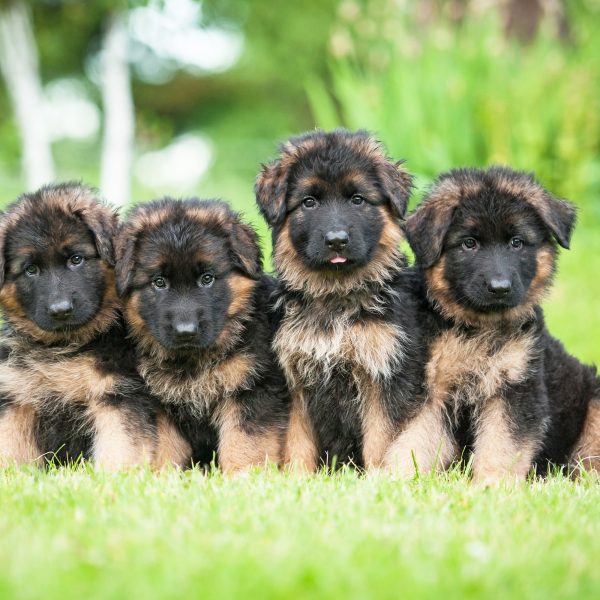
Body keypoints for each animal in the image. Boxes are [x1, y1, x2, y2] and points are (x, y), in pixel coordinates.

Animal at [0, 183, 159, 468]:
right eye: (31, 270)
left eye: (76, 259)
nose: (60, 310)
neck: (64, 346)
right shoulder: (15, 397)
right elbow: (8, 447)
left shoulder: (116, 395)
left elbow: (120, 447)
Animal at [115, 199, 290, 472]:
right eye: (159, 282)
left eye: (207, 278)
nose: (185, 332)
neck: (192, 361)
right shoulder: (159, 406)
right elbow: (165, 449)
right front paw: (161, 476)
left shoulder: (252, 389)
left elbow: (244, 443)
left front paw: (244, 475)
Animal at [255, 130, 428, 474]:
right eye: (309, 202)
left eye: (357, 200)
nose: (336, 240)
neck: (336, 297)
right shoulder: (295, 379)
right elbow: (297, 441)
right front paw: (296, 478)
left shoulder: (383, 376)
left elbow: (379, 440)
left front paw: (377, 478)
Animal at [398, 168, 600, 482]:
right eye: (469, 243)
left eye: (516, 242)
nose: (500, 288)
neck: (477, 327)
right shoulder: (430, 389)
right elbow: (414, 439)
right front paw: (392, 478)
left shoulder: (515, 390)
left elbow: (501, 445)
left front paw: (491, 484)